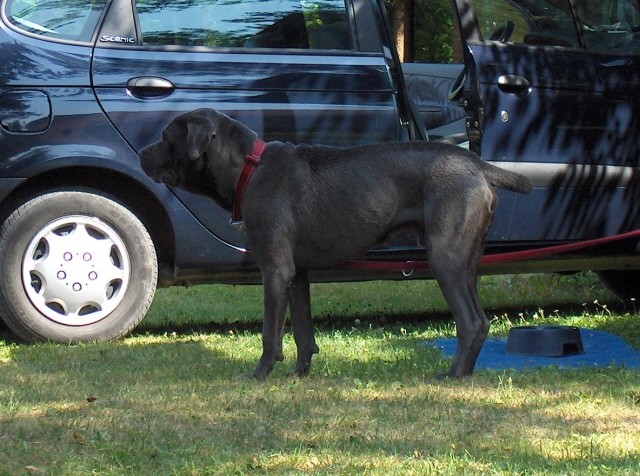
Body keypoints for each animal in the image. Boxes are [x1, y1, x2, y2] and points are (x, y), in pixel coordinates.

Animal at [141, 108, 536, 380]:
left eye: (166, 136)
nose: (142, 153)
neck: (249, 168)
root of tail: (478, 164)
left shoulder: (275, 270)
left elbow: (271, 333)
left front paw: (260, 374)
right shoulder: (297, 273)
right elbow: (303, 331)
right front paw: (299, 374)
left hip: (444, 257)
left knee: (468, 322)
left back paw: (451, 375)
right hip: (466, 260)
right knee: (481, 321)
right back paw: (464, 373)